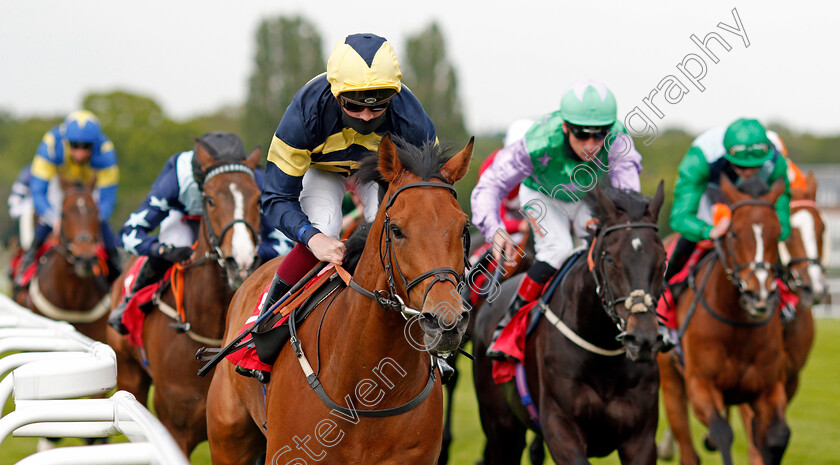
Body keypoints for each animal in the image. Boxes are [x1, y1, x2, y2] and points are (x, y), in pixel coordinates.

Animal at [106, 144, 262, 454]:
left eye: (259, 200)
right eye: (210, 200)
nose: (240, 262)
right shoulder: (175, 429)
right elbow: (132, 230)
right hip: (131, 375)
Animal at [472, 182, 664, 464]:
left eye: (663, 260)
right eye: (610, 259)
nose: (643, 340)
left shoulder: (641, 439)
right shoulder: (561, 428)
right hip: (501, 429)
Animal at [660, 176, 792, 464]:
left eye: (777, 234)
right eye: (734, 233)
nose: (759, 295)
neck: (735, 326)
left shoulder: (768, 387)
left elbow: (778, 436)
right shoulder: (700, 383)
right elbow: (722, 432)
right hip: (671, 382)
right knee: (689, 451)